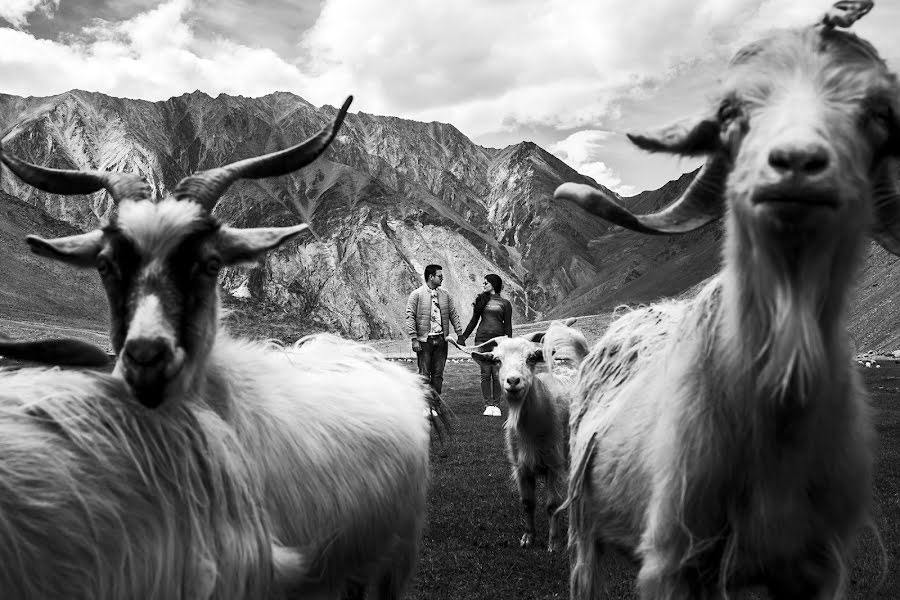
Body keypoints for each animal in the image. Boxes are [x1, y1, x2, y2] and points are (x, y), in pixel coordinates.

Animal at [560, 5, 896, 600]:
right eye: (732, 111)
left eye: (879, 112)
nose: (796, 164)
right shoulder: (673, 558)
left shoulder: (816, 569)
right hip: (584, 527)